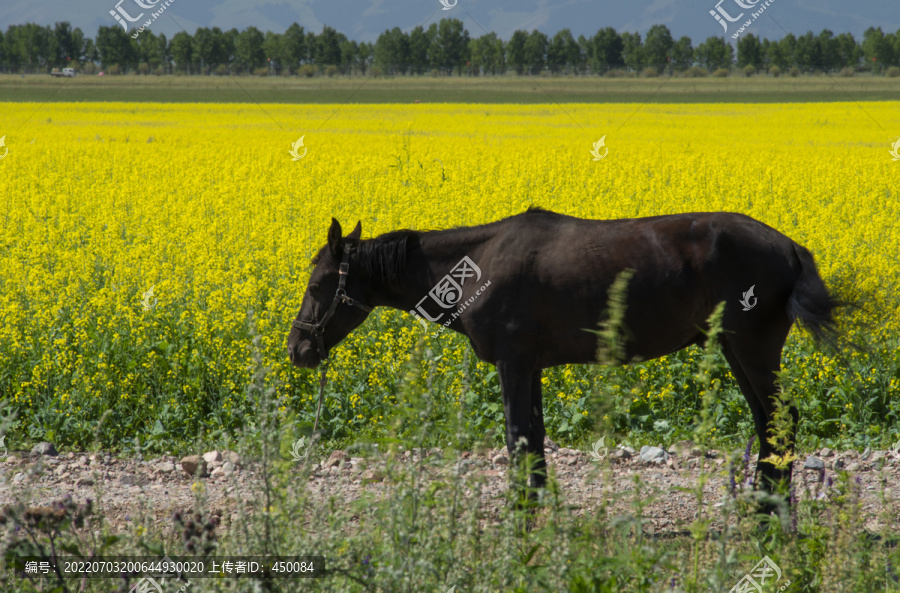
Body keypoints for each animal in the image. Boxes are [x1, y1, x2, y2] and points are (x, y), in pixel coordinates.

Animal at [288, 207, 836, 504]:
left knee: (780, 418)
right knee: (769, 420)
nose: (298, 348)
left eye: (317, 286)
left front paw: (521, 508)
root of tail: (790, 247)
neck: (477, 265)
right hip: (735, 350)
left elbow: (517, 435)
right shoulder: (529, 367)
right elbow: (533, 437)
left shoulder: (512, 364)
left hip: (751, 348)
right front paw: (536, 501)